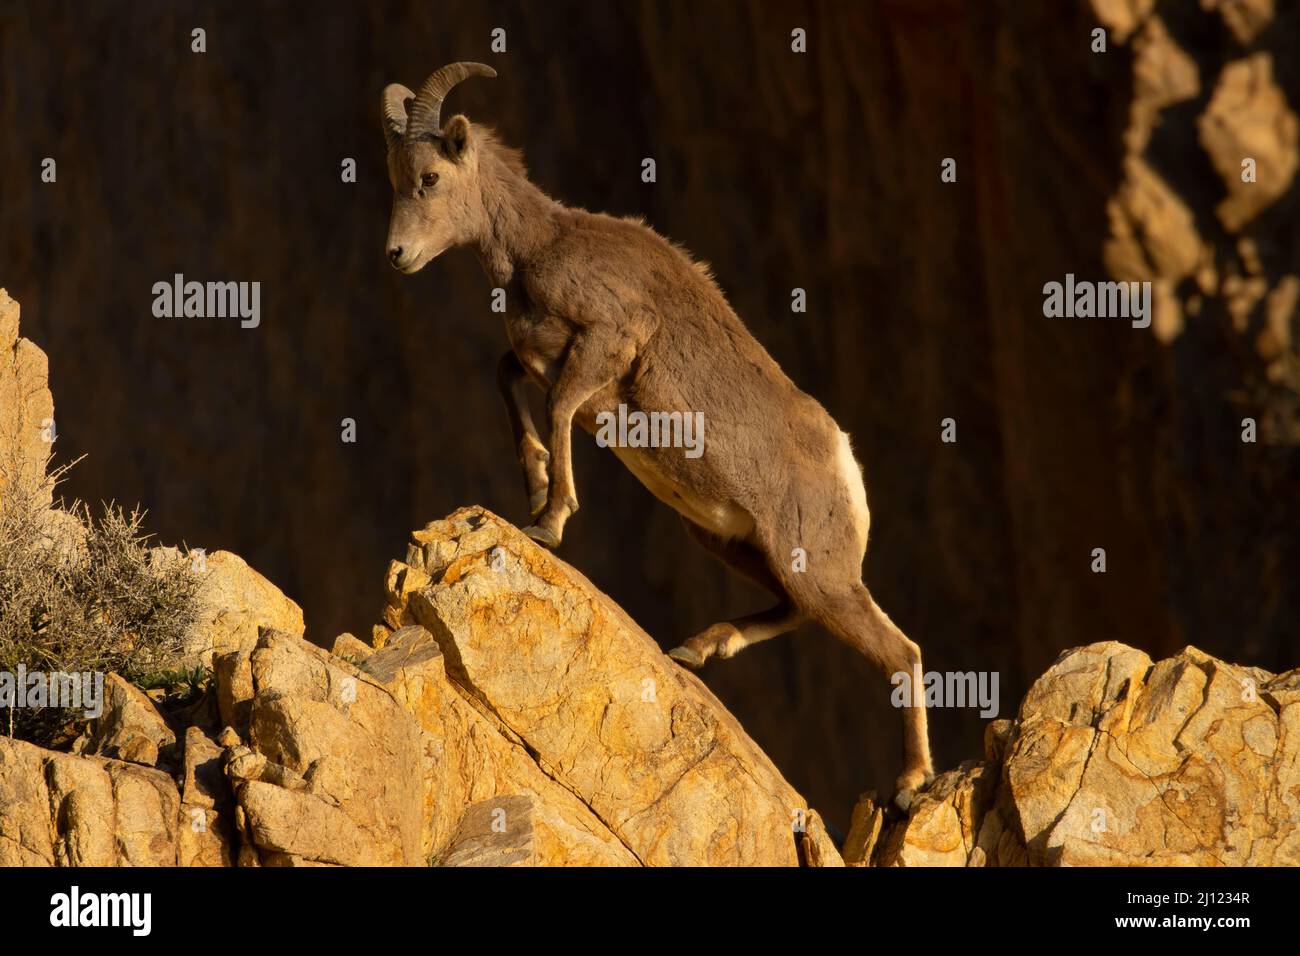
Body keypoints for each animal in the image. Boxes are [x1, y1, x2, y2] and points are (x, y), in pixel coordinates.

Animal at [379, 61, 935, 806]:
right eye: (394, 177)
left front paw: (548, 520)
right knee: (795, 612)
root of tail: (845, 462)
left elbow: (557, 408)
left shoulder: (608, 343)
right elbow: (510, 380)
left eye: (430, 178)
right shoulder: (541, 358)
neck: (537, 249)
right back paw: (696, 648)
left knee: (900, 651)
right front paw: (534, 486)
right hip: (728, 542)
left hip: (820, 573)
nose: (397, 254)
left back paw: (910, 784)